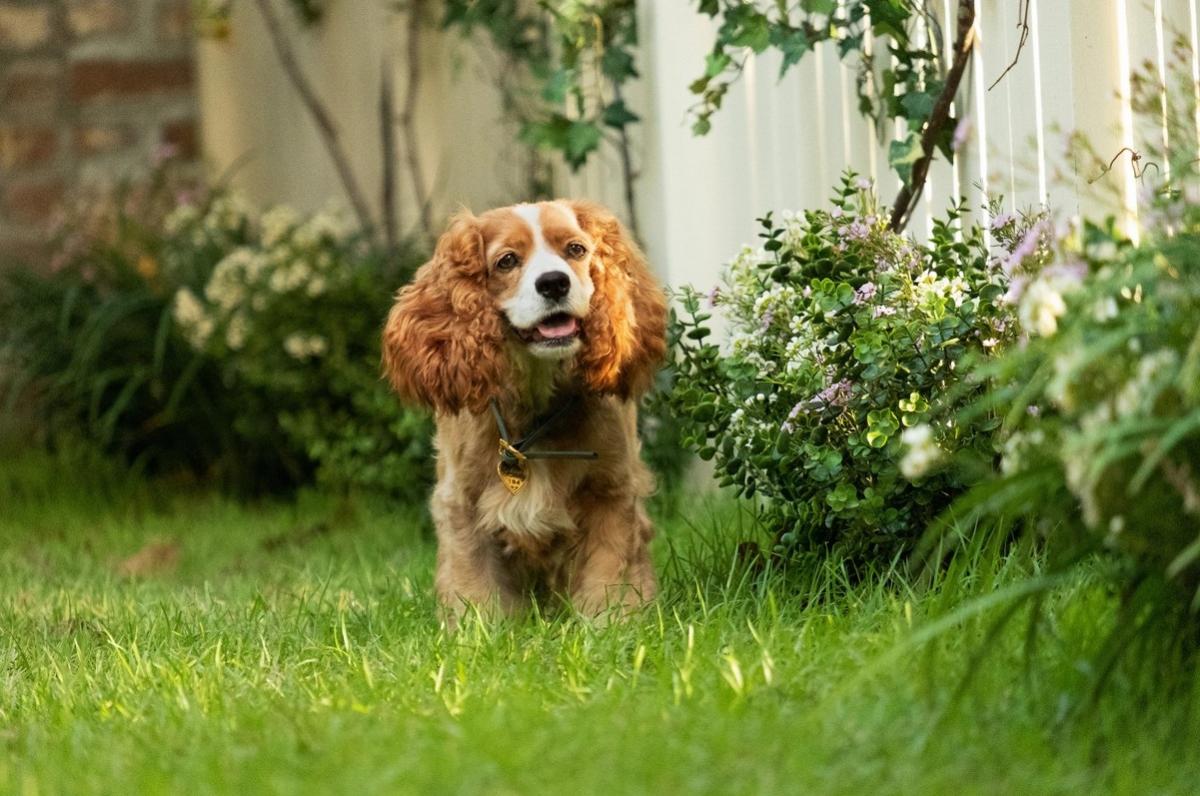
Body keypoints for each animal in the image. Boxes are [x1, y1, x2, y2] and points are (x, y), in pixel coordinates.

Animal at [381, 199, 667, 624]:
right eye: (507, 261)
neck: (535, 399)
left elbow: (608, 575)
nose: (554, 283)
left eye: (576, 250)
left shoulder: (610, 493)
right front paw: (480, 630)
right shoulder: (463, 504)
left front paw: (611, 625)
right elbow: (474, 584)